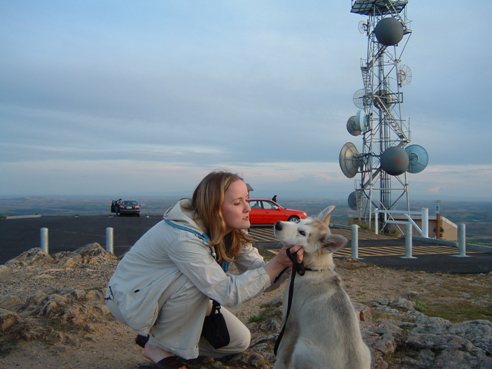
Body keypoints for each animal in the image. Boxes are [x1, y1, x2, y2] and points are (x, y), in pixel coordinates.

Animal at [270, 206, 370, 366]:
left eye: (302, 233)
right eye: (298, 220)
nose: (278, 224)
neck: (312, 269)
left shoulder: (291, 322)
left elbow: (282, 355)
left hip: (301, 349)